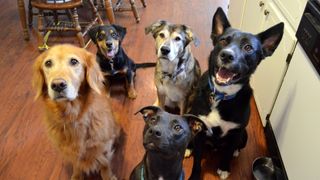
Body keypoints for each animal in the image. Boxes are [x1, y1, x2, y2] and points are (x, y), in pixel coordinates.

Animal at [189, 7, 284, 179]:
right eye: (223, 41)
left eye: (248, 48)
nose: (227, 55)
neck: (221, 95)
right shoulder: (200, 129)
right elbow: (197, 160)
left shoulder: (235, 133)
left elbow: (227, 152)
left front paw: (224, 168)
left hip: (244, 135)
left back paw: (235, 152)